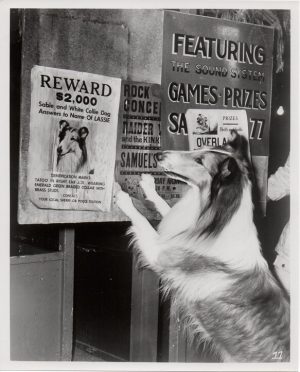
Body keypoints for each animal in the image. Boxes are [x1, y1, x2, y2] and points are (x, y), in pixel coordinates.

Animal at [116, 131, 290, 364]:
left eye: (200, 161)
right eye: (198, 150)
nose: (159, 155)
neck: (218, 220)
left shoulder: (162, 253)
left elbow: (142, 221)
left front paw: (123, 198)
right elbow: (166, 208)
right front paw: (149, 186)